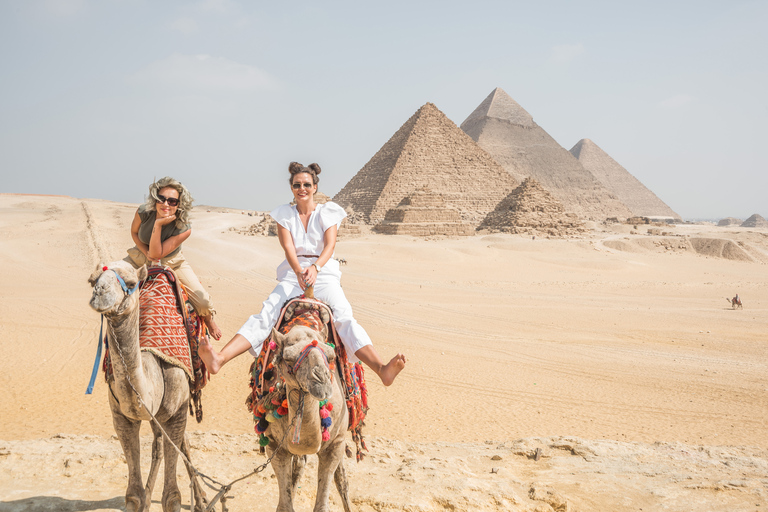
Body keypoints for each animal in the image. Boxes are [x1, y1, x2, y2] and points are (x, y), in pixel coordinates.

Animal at [87, 260, 206, 512]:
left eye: (131, 283)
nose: (100, 293)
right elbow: (133, 495)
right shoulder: (121, 416)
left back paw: (202, 501)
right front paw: (142, 501)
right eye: (92, 281)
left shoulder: (176, 411)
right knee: (162, 445)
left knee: (177, 444)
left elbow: (171, 497)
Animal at [268, 320, 354, 512]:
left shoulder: (335, 444)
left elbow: (323, 504)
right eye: (288, 358)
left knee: (341, 479)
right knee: (299, 466)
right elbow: (285, 506)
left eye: (331, 356)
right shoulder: (274, 445)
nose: (321, 379)